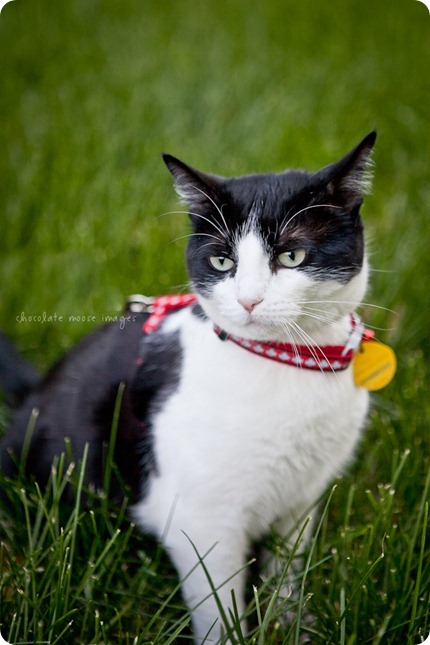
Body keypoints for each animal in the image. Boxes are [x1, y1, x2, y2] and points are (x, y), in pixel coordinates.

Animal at [0, 132, 376, 644]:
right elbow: (219, 608)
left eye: (292, 256)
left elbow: (287, 571)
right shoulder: (200, 521)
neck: (288, 360)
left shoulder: (300, 502)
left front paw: (289, 623)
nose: (249, 300)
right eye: (222, 260)